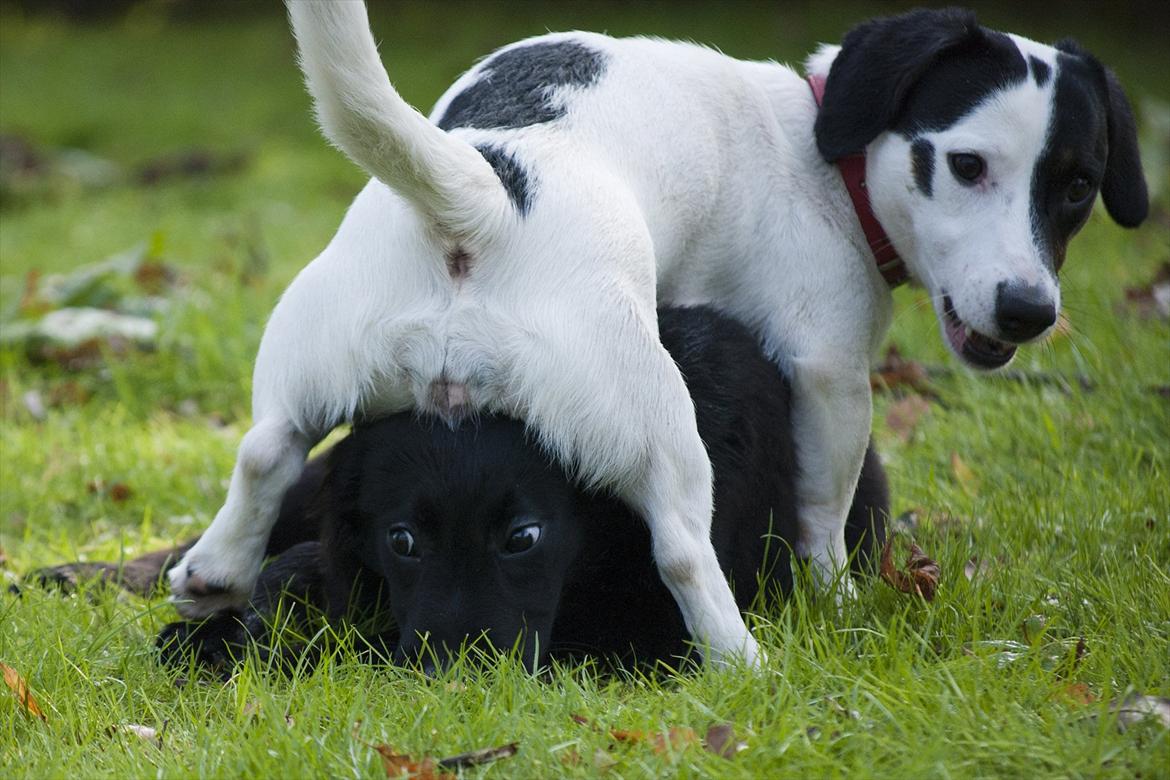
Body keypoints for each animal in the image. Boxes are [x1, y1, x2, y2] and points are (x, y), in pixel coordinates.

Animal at [150, 308, 889, 673]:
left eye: (523, 538)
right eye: (402, 540)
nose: (457, 674)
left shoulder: (643, 636)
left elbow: (355, 641)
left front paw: (244, 648)